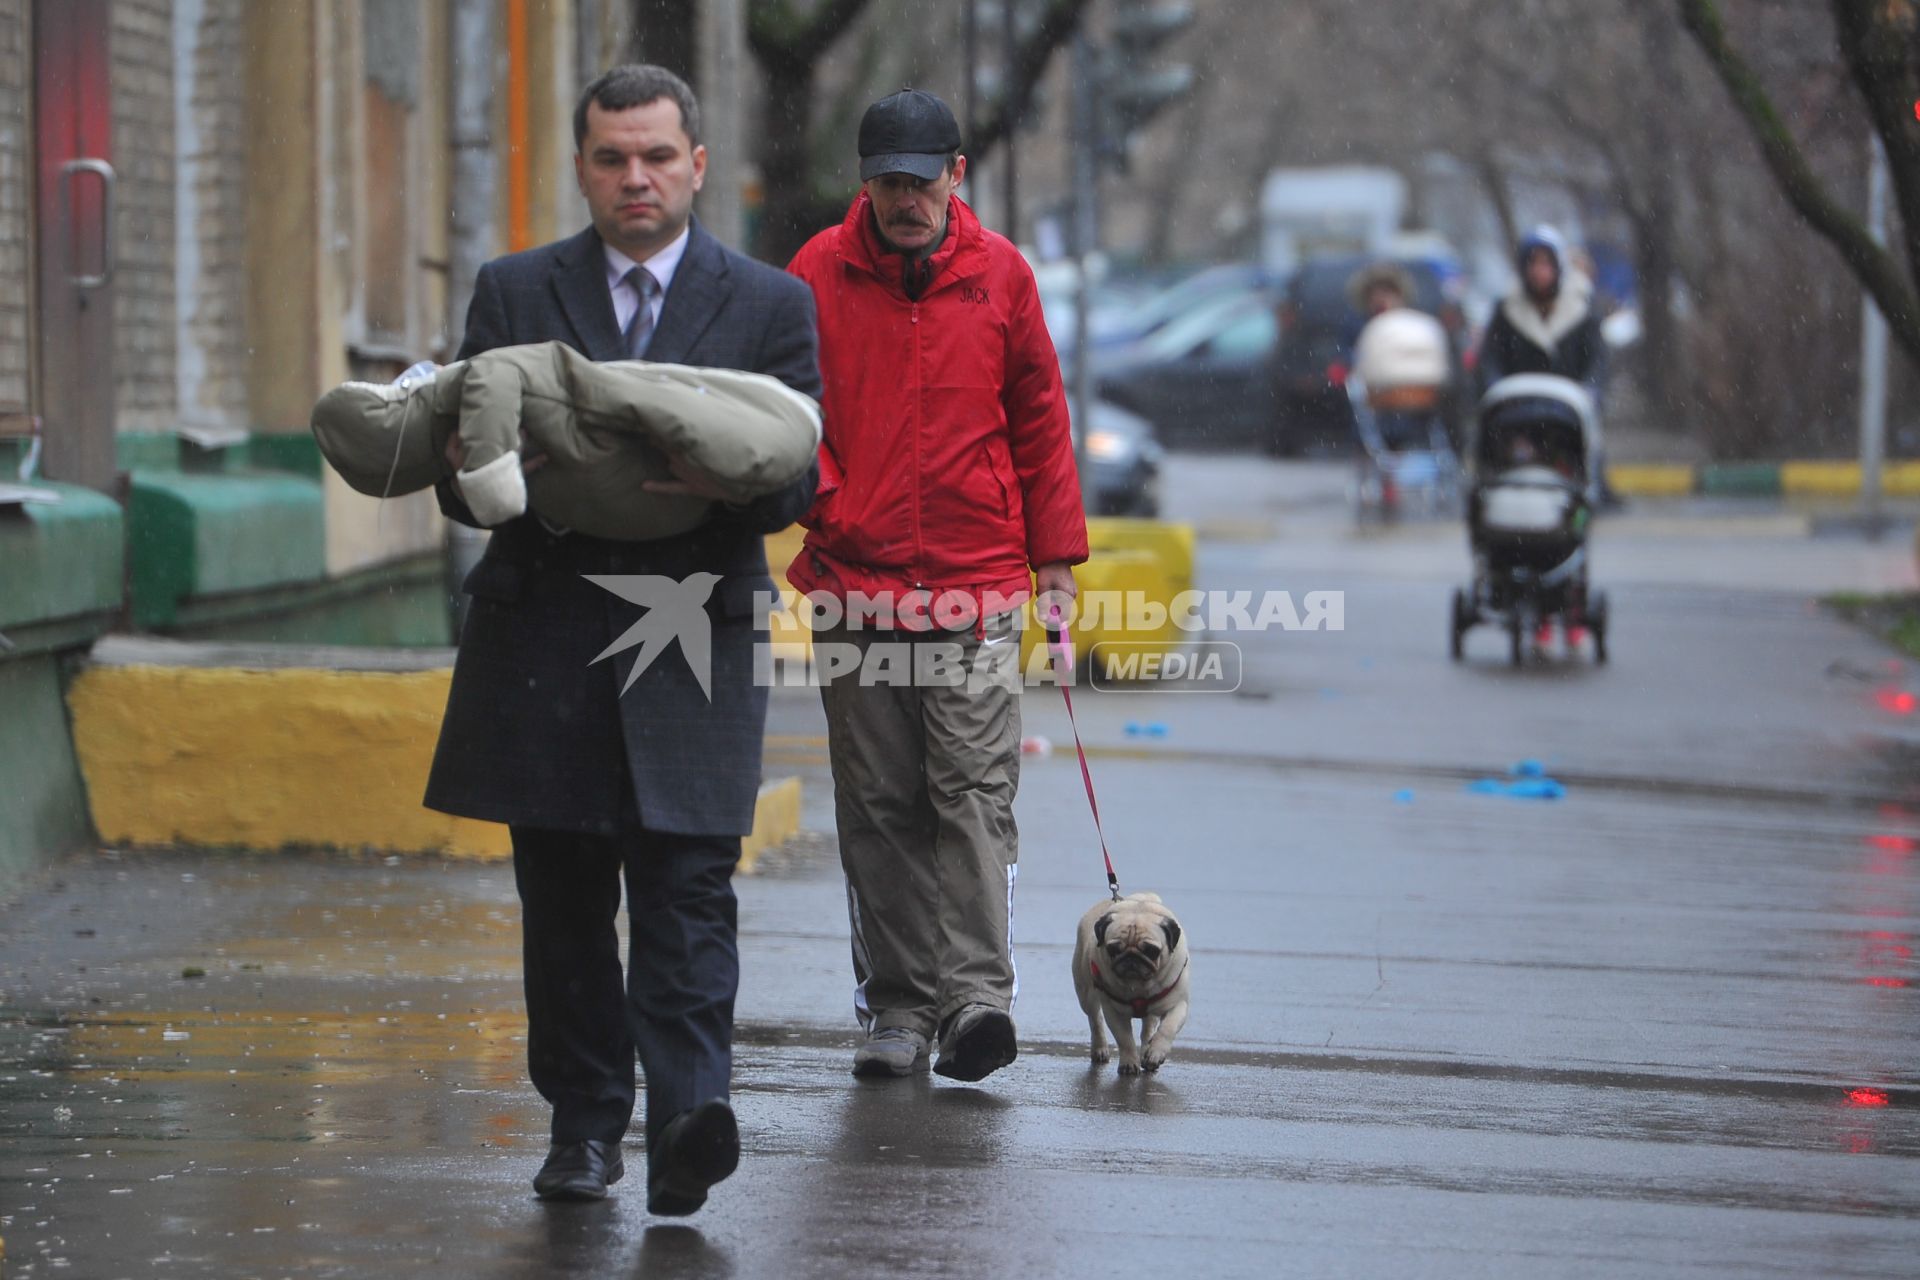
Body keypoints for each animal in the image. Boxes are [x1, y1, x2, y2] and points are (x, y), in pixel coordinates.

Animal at [1082, 898, 1182, 1074]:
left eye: (1151, 950)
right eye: (1113, 949)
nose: (1131, 957)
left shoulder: (1178, 1005)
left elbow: (1167, 1029)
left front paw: (1155, 1053)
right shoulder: (1114, 1012)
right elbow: (1125, 1039)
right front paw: (1129, 1063)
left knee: (1148, 1029)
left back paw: (1147, 1053)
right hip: (1085, 994)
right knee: (1095, 1020)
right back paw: (1099, 1049)